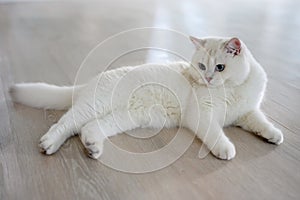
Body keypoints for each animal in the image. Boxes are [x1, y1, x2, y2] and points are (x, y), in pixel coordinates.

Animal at [9, 36, 284, 160]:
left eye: (219, 67)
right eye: (201, 66)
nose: (206, 79)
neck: (232, 90)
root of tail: (89, 81)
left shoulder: (247, 113)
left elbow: (261, 122)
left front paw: (273, 135)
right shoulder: (202, 115)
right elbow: (216, 133)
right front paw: (225, 148)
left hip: (126, 118)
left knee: (89, 128)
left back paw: (93, 147)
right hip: (93, 106)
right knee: (66, 123)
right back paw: (49, 144)